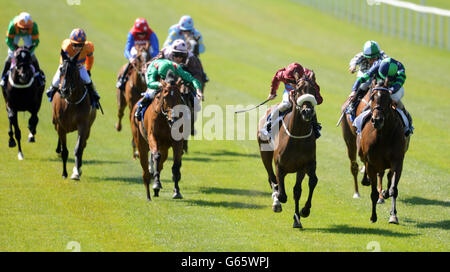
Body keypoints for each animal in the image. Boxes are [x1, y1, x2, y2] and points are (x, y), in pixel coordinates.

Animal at [51, 50, 96, 180]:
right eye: (61, 69)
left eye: (73, 71)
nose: (64, 91)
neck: (71, 101)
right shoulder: (60, 126)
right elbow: (65, 151)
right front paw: (64, 173)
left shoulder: (83, 125)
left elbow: (78, 149)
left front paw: (76, 172)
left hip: (89, 127)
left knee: (83, 145)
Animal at [130, 70, 186, 202]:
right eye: (165, 96)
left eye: (179, 97)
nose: (174, 118)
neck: (165, 121)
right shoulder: (152, 137)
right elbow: (156, 156)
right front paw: (156, 183)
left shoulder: (177, 141)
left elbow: (176, 164)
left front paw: (177, 191)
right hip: (141, 142)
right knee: (145, 168)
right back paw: (149, 193)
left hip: (164, 147)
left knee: (161, 163)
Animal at [258, 74, 318, 227]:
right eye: (297, 90)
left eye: (314, 89)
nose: (307, 111)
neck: (297, 136)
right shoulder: (279, 165)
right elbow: (282, 193)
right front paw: (278, 201)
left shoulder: (305, 165)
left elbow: (301, 188)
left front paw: (301, 213)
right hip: (265, 155)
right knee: (272, 178)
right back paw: (276, 203)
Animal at [358, 81, 408, 225]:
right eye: (372, 97)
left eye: (388, 99)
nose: (377, 120)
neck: (383, 135)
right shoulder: (371, 164)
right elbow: (373, 192)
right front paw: (373, 216)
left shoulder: (397, 161)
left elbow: (393, 189)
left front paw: (393, 216)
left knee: (388, 177)